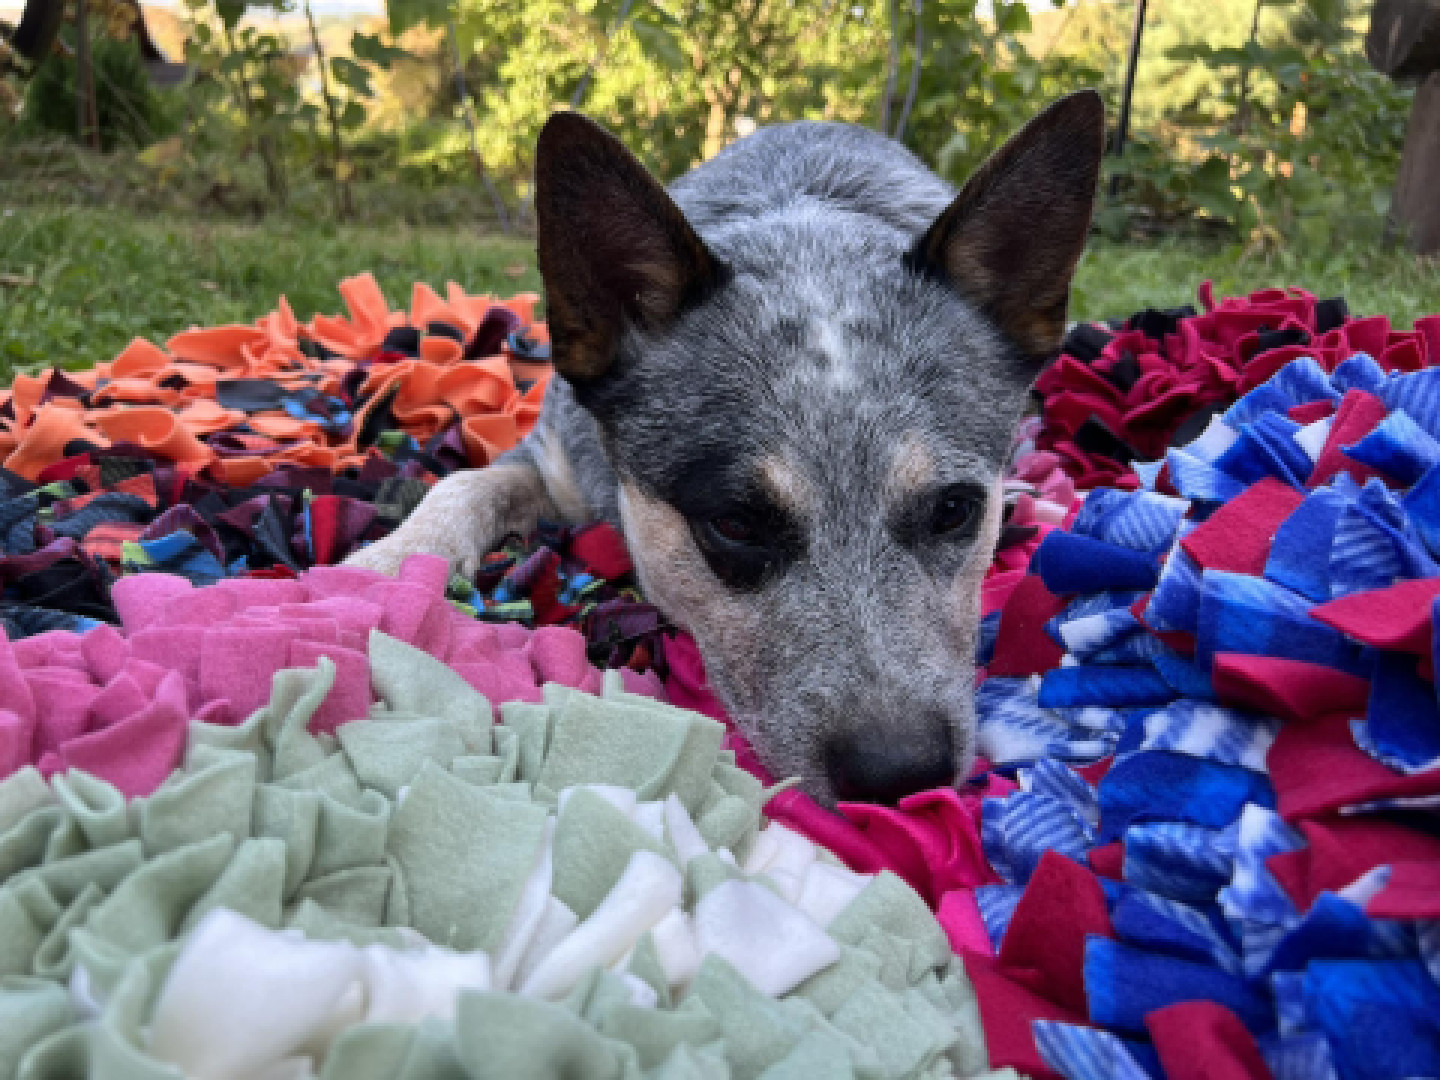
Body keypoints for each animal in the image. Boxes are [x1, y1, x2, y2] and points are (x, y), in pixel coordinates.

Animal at [345, 91, 1100, 806]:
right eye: (735, 523)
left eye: (952, 510)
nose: (899, 773)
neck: (807, 238)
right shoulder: (555, 457)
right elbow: (463, 484)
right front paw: (391, 562)